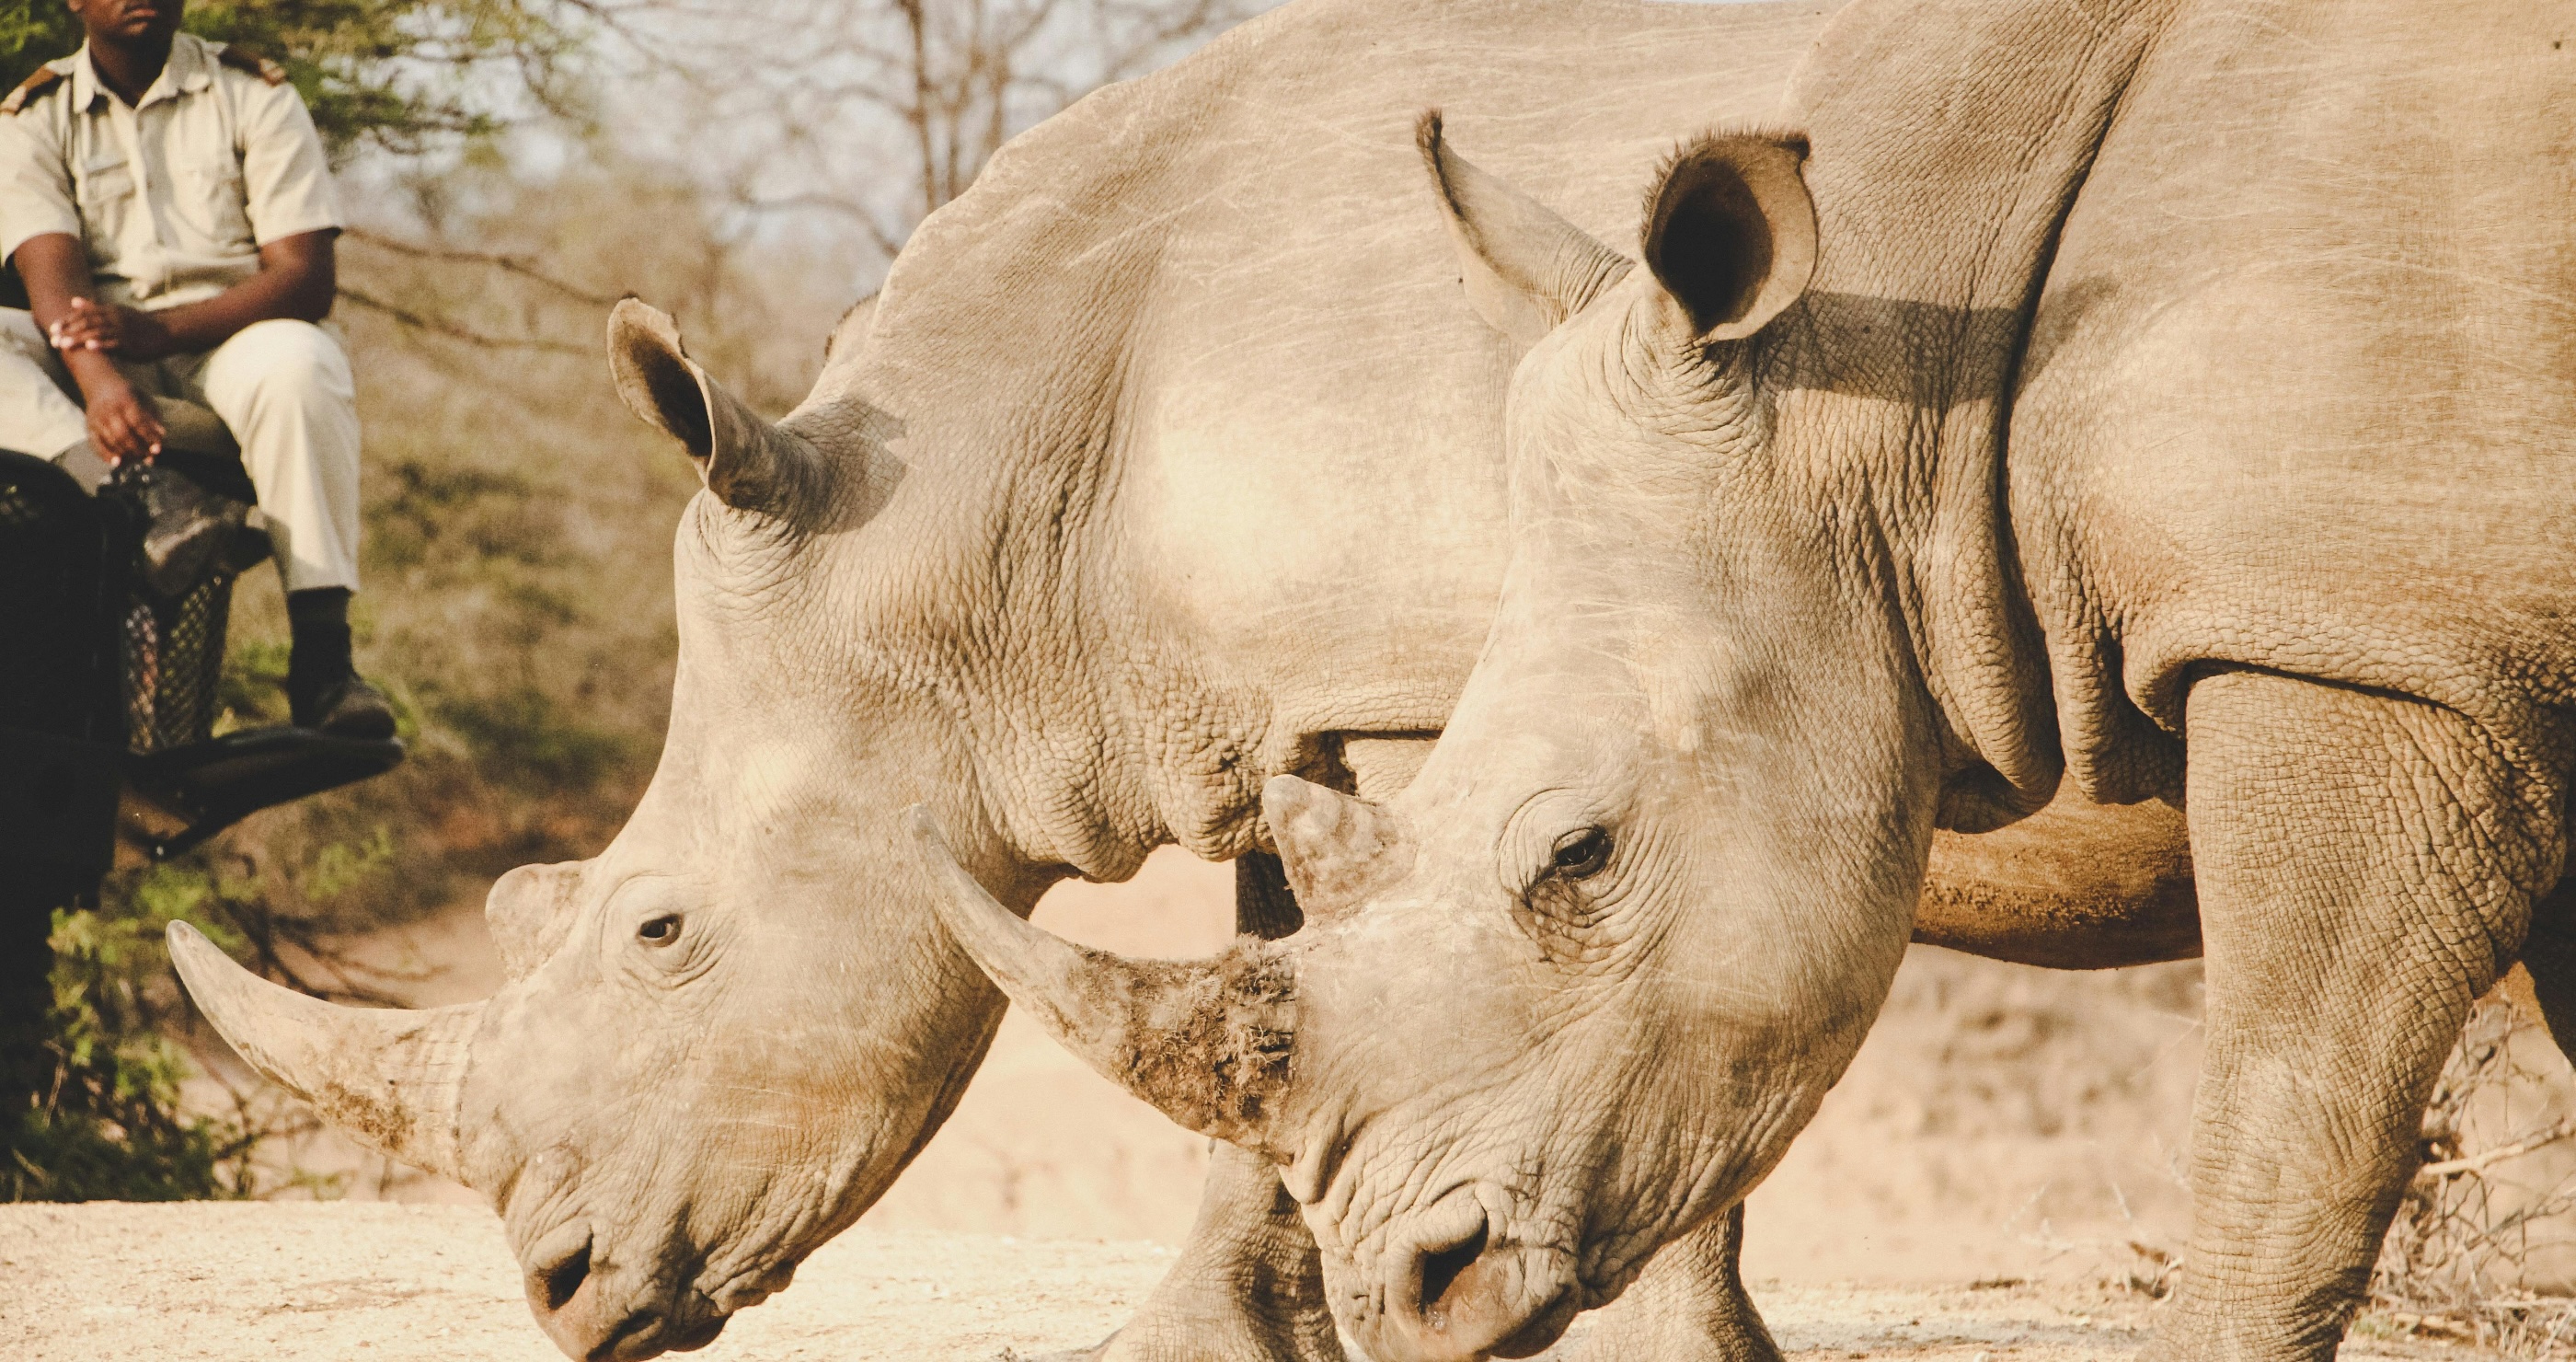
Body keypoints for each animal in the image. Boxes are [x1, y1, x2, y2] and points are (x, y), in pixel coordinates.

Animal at [169, 0, 2198, 1358]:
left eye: (659, 933)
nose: (558, 1291)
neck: (978, 533)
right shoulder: (1296, 685)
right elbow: (1285, 955)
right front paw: (1199, 1335)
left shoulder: (1475, 666)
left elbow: (1588, 969)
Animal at [922, 0, 2576, 1358]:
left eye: (1581, 855)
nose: (1410, 1292)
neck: (1910, 385)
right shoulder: (2483, 647)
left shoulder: (2363, 643)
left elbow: (2289, 1128)